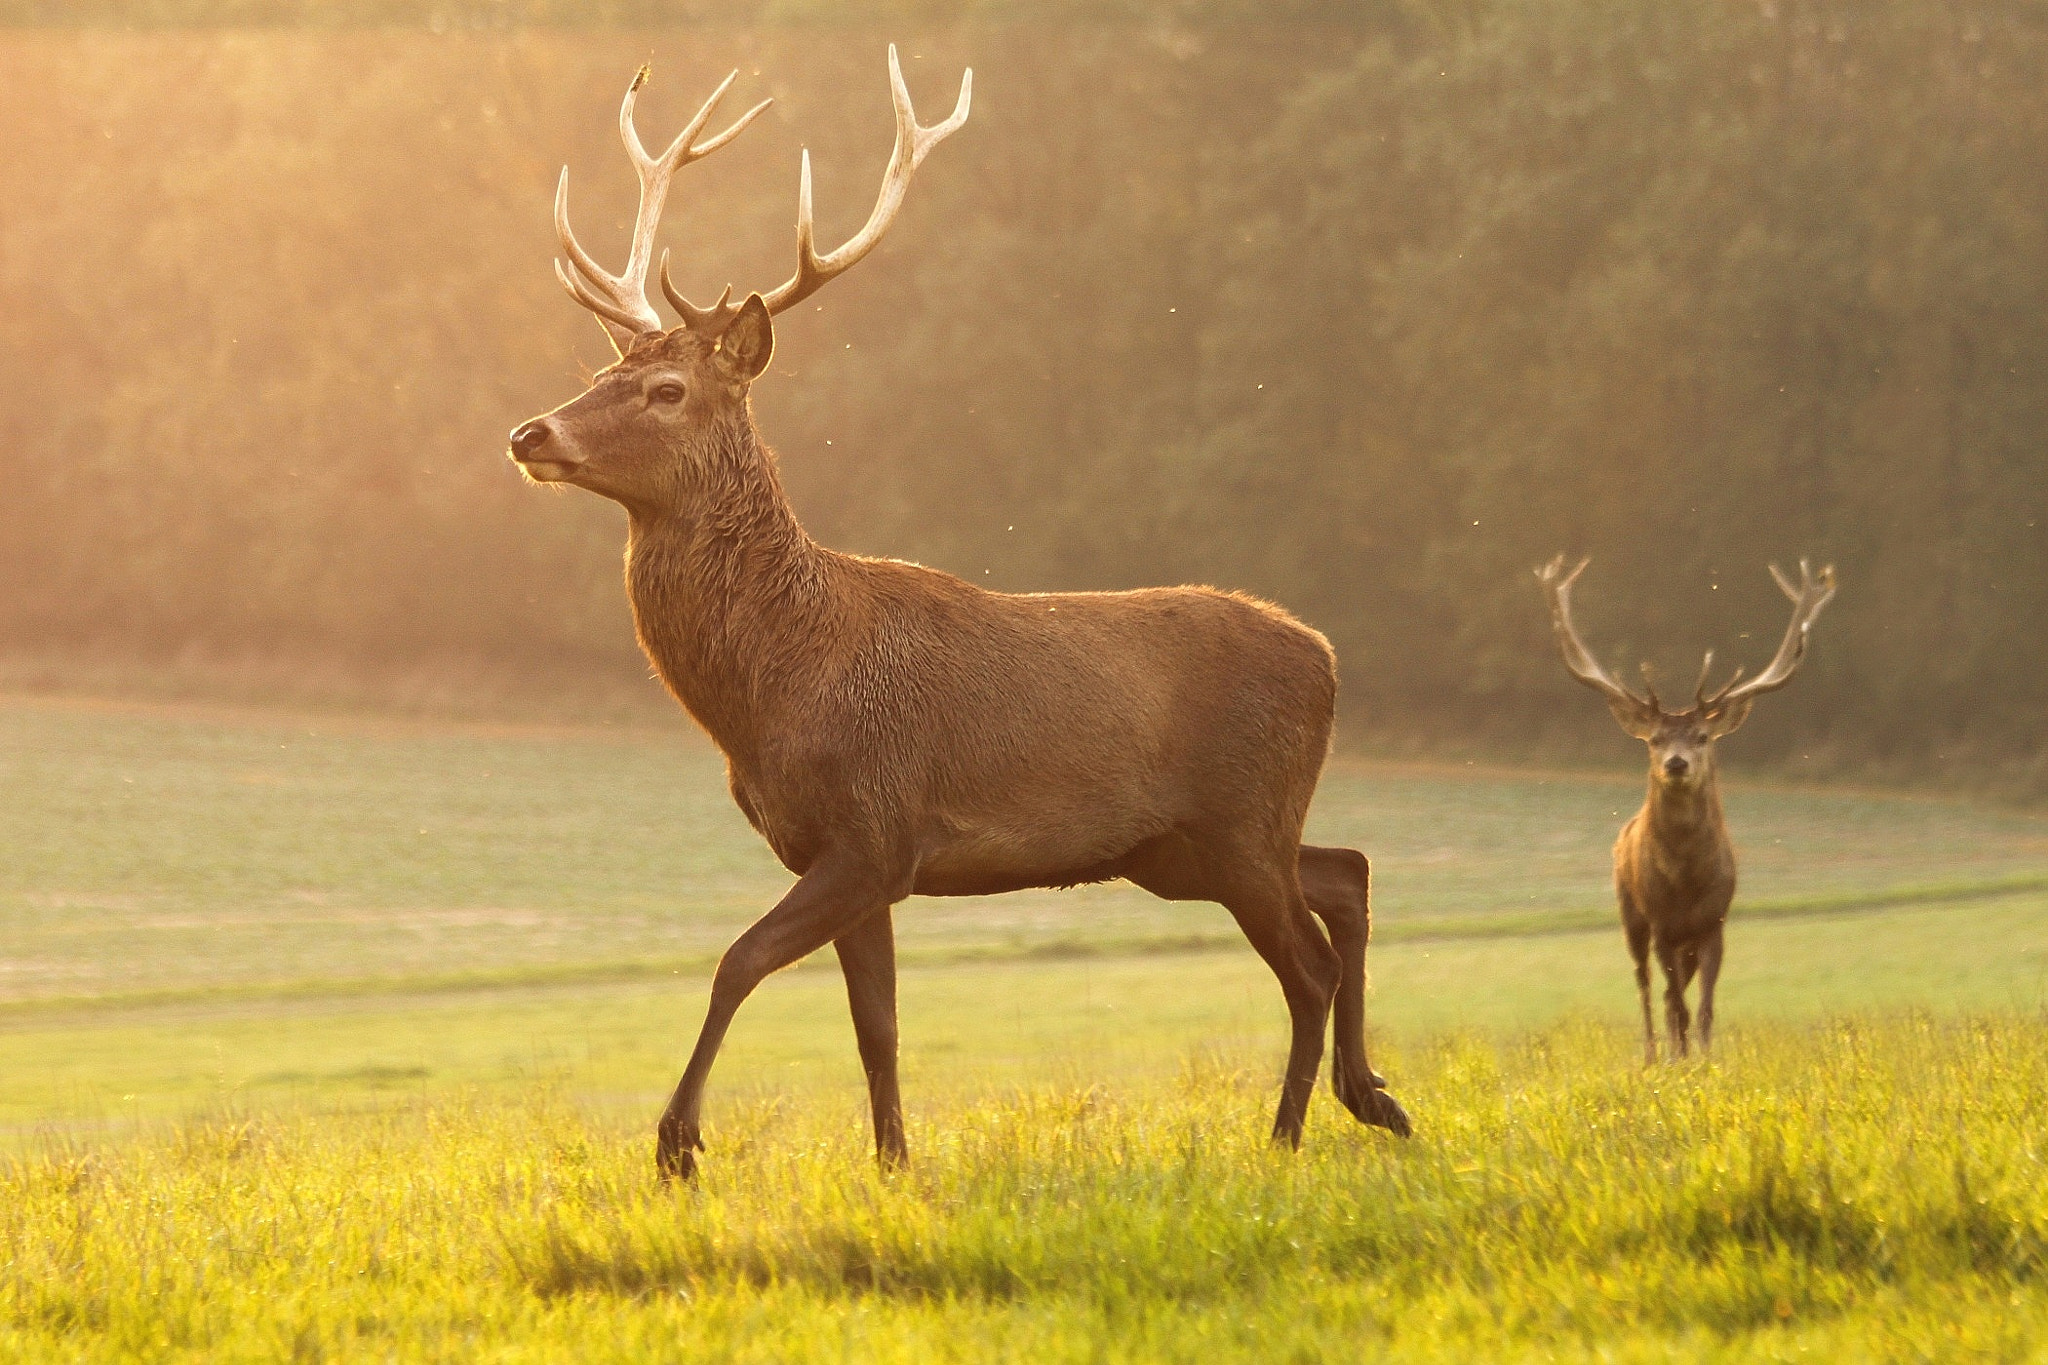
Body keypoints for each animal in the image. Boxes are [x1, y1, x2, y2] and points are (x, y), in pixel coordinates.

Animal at [505, 53, 1417, 1178]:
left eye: (667, 388)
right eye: (602, 371)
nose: (530, 432)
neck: (773, 689)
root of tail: (1327, 654)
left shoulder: (875, 826)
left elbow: (737, 961)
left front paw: (679, 1142)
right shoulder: (849, 857)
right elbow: (876, 1025)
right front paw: (893, 1164)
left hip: (1241, 817)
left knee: (1308, 962)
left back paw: (1287, 1136)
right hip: (1187, 846)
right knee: (1346, 874)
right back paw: (1371, 1094)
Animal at [1540, 556, 1843, 1064]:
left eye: (1702, 736)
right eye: (1655, 739)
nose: (1676, 763)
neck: (1685, 883)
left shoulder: (1714, 923)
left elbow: (1703, 1008)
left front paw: (1705, 1059)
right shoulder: (1661, 924)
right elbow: (1676, 1004)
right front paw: (1678, 1059)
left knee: (1671, 992)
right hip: (1630, 915)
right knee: (1646, 988)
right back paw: (1651, 1055)